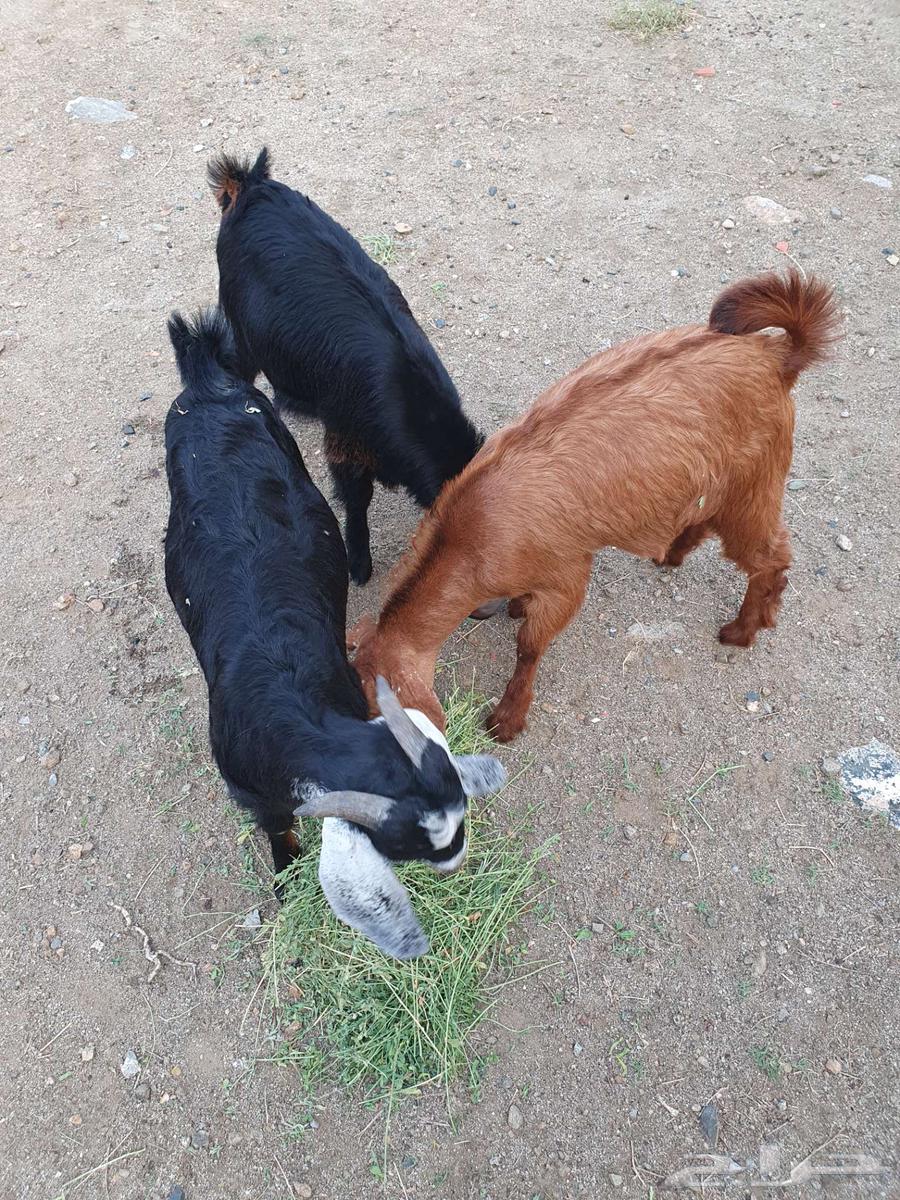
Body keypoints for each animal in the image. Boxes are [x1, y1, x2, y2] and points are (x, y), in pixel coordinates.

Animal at [163, 308, 505, 958]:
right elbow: (275, 828)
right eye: (414, 841)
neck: (287, 707)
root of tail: (208, 381)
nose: (459, 858)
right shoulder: (253, 791)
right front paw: (283, 875)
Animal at [351, 270, 841, 743]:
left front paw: (506, 720)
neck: (467, 532)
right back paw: (673, 553)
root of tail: (776, 355)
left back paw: (742, 630)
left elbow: (530, 648)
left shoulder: (566, 575)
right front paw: (515, 607)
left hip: (755, 484)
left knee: (770, 556)